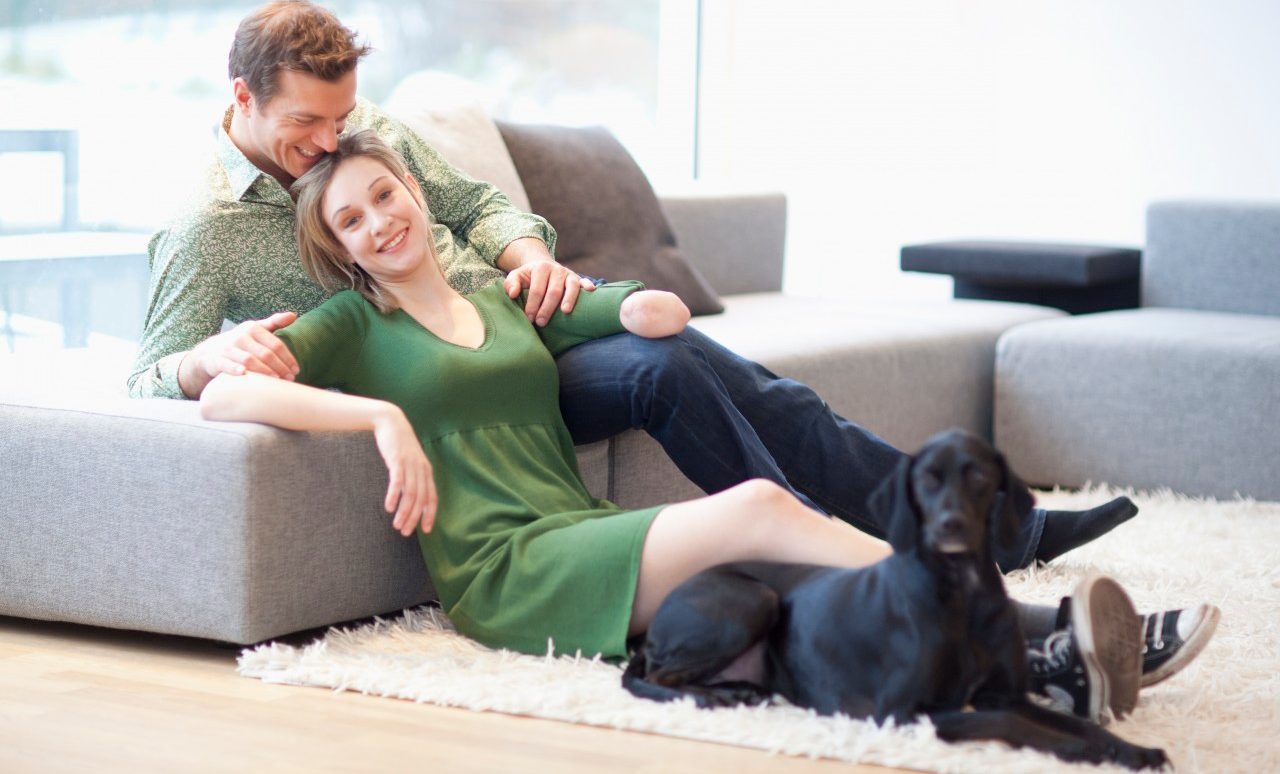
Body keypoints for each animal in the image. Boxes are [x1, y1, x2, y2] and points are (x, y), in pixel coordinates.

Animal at [624, 429, 1167, 767]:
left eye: (978, 476)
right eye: (926, 478)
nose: (950, 525)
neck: (962, 594)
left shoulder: (1005, 691)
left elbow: (1072, 723)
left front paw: (1130, 750)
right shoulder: (902, 712)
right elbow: (1006, 722)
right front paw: (1074, 752)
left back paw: (738, 690)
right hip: (754, 599)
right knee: (653, 677)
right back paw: (711, 696)